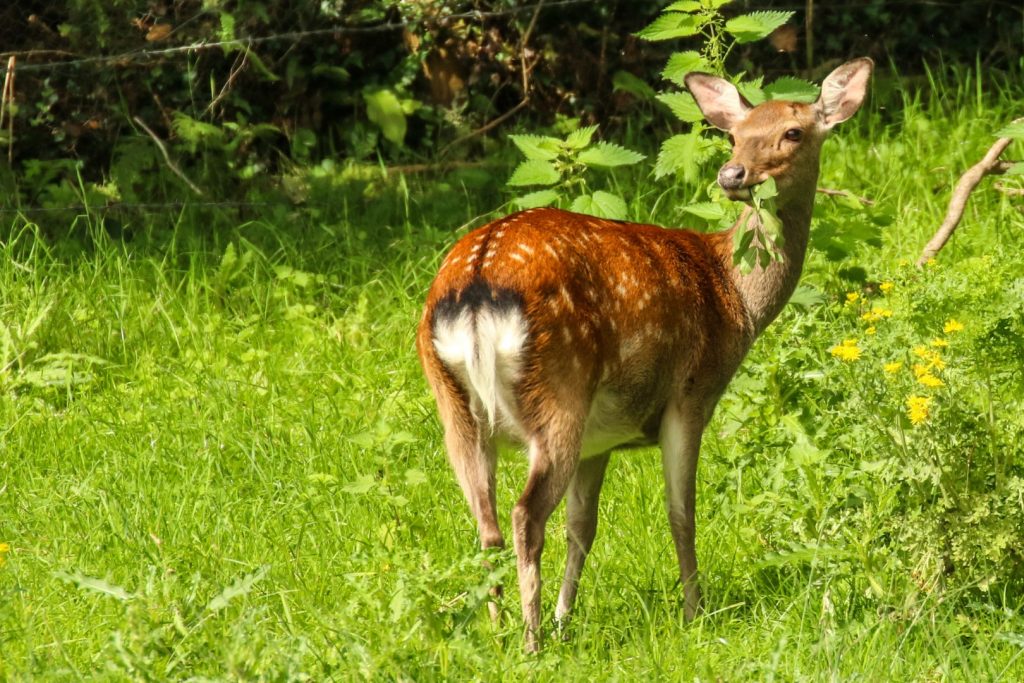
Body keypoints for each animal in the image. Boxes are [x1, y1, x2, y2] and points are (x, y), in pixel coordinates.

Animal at [415, 58, 872, 651]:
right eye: (735, 135)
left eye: (792, 132)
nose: (732, 175)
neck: (734, 298)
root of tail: (474, 283)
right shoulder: (691, 394)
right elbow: (682, 512)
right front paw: (695, 613)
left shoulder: (601, 437)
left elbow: (583, 527)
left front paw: (567, 617)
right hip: (559, 391)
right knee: (524, 516)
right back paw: (531, 642)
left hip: (455, 406)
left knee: (487, 522)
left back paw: (500, 629)